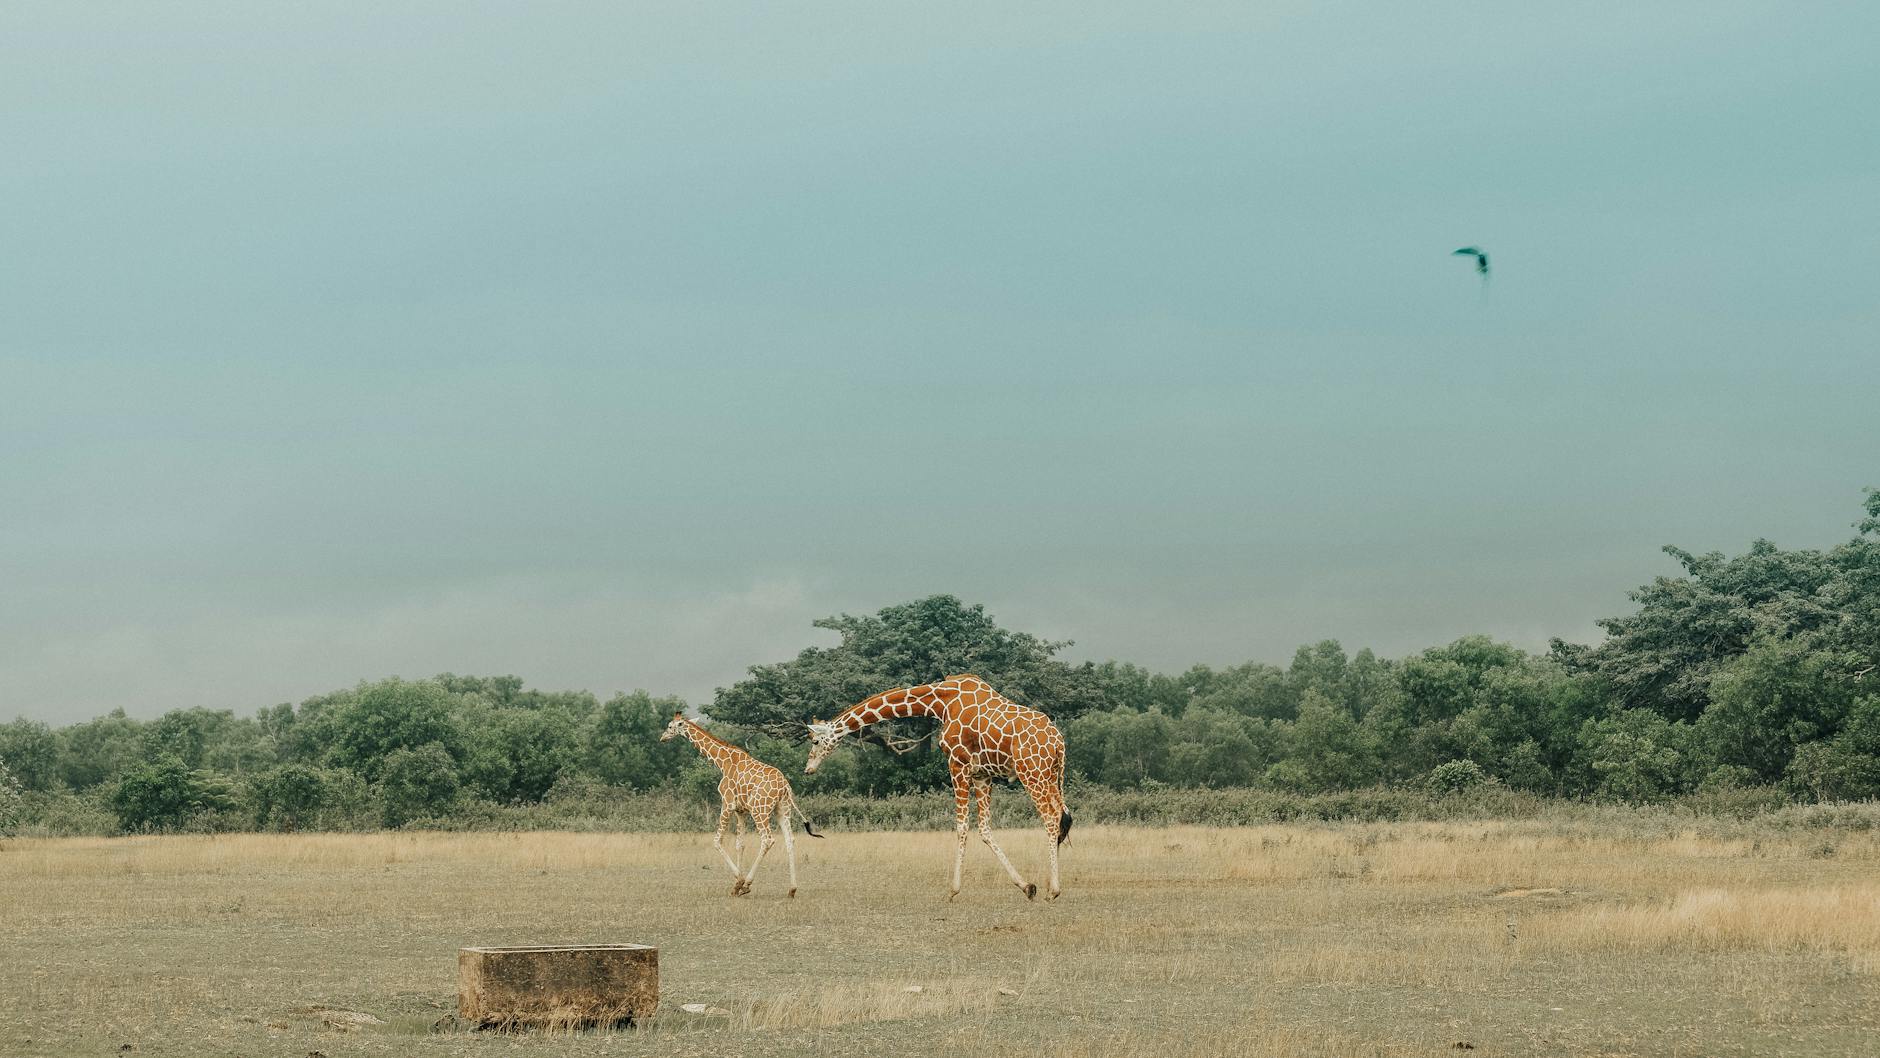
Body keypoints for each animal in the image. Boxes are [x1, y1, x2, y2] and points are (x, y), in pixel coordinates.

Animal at [661, 712, 822, 897]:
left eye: (670, 726)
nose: (662, 737)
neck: (722, 761)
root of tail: (785, 787)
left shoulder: (727, 803)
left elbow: (717, 841)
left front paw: (739, 882)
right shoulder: (741, 811)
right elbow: (740, 845)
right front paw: (737, 885)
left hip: (760, 810)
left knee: (767, 839)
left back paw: (748, 884)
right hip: (782, 810)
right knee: (790, 840)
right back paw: (792, 889)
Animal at [805, 674, 1071, 901]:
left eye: (815, 741)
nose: (808, 768)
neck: (939, 702)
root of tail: (1058, 742)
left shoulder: (957, 764)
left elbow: (962, 827)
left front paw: (953, 890)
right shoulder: (982, 774)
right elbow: (985, 829)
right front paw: (1027, 886)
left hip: (1031, 773)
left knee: (1051, 818)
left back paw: (1054, 890)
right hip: (1051, 776)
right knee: (1063, 817)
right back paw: (1050, 885)